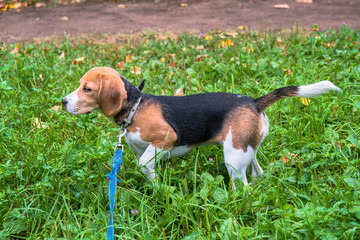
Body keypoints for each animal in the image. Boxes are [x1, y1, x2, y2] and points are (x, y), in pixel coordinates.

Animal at [62, 66, 340, 187]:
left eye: (87, 89)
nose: (63, 102)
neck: (135, 107)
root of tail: (254, 101)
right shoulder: (144, 149)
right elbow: (149, 168)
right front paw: (158, 189)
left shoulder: (165, 139)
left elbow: (143, 164)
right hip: (245, 148)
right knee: (257, 171)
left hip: (233, 158)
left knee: (243, 185)